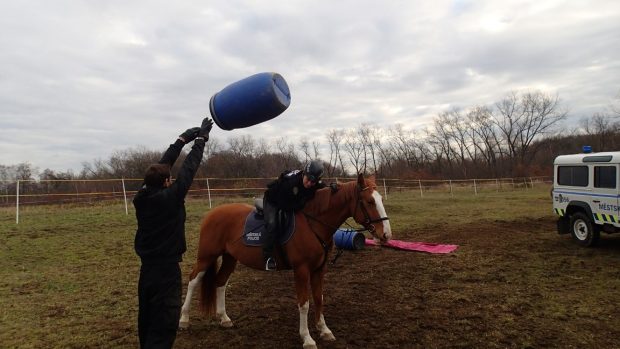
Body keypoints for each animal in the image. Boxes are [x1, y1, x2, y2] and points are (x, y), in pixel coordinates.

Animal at [179, 174, 392, 348]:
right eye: (370, 201)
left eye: (380, 199)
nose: (386, 235)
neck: (313, 223)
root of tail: (212, 213)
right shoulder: (302, 270)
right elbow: (304, 303)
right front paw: (307, 338)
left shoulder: (319, 269)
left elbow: (319, 298)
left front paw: (324, 330)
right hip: (206, 257)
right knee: (193, 280)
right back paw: (184, 319)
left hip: (230, 258)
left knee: (221, 282)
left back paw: (224, 318)